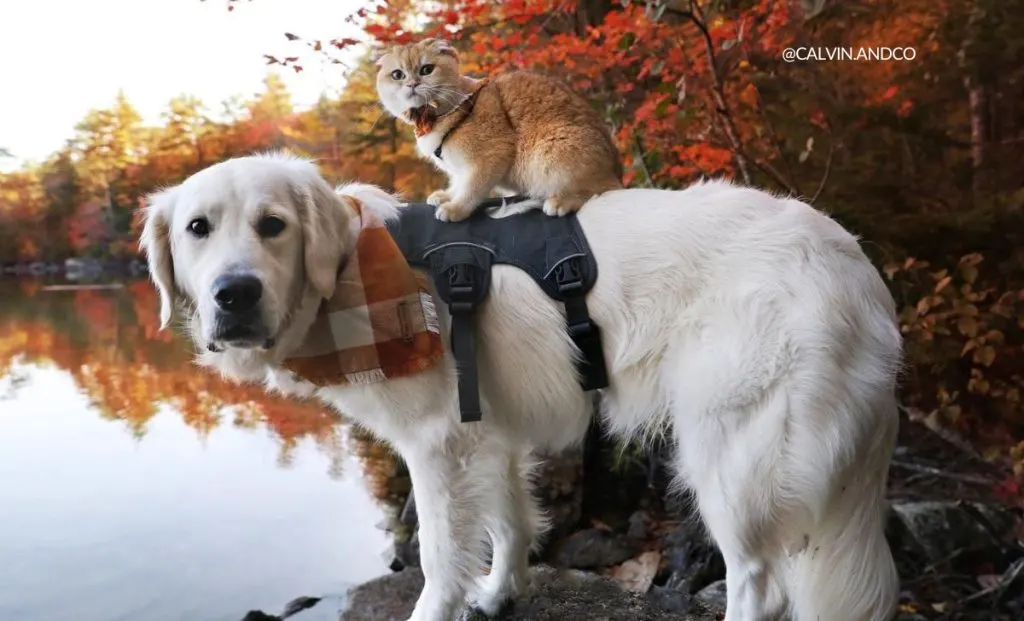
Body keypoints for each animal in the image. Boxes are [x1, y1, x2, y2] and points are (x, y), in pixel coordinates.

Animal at [140, 151, 901, 621]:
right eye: (197, 229)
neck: (353, 283)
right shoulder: (489, 432)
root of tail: (855, 263)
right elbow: (509, 523)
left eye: (273, 225)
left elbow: (440, 555)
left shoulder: (436, 443)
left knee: (760, 585)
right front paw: (499, 593)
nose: (234, 295)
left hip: (733, 455)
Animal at [374, 37, 618, 222]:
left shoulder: (490, 156)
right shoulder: (460, 169)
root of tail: (616, 168)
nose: (412, 84)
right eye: (397, 74)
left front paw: (456, 208)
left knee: (603, 188)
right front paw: (446, 196)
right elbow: (459, 183)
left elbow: (472, 188)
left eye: (427, 69)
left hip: (551, 153)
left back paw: (562, 201)